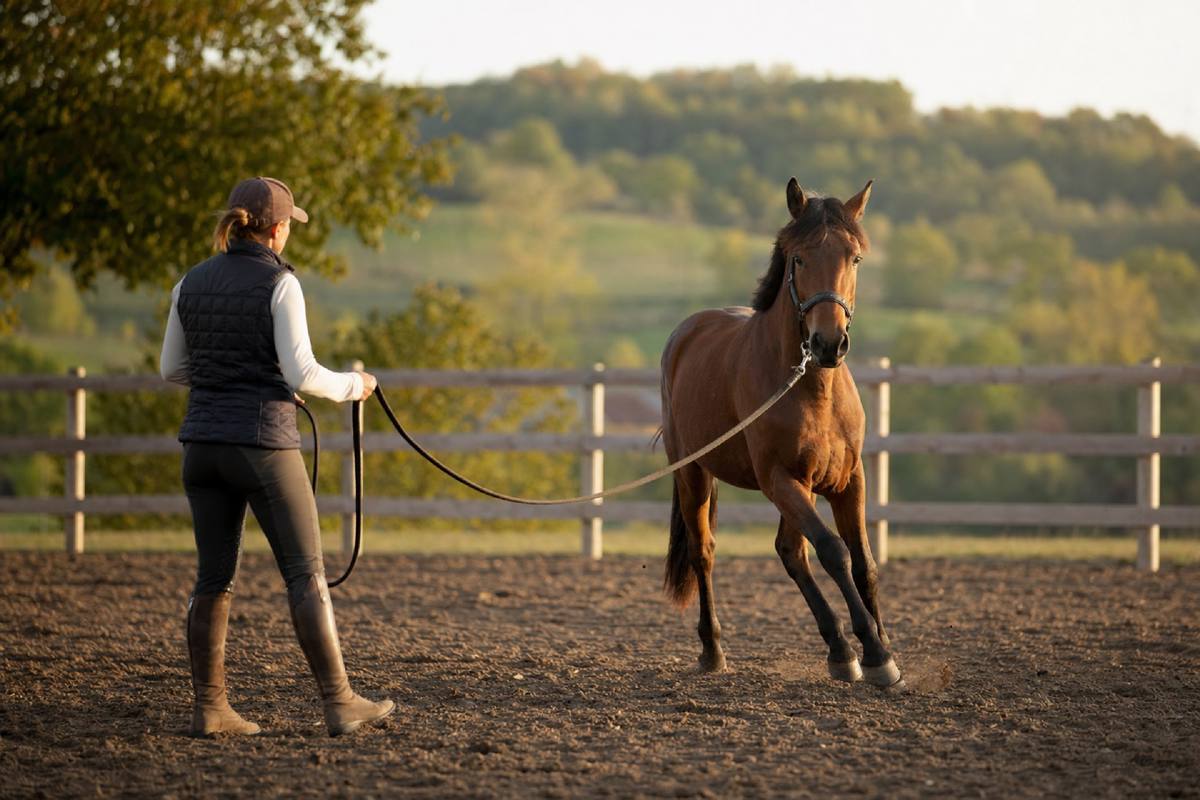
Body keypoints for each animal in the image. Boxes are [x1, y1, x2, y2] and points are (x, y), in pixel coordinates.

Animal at [659, 177, 901, 687]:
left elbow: (863, 562)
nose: (829, 343)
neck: (812, 389)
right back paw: (713, 650)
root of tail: (685, 332)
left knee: (790, 551)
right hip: (694, 473)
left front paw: (882, 649)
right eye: (799, 258)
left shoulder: (848, 481)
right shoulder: (782, 480)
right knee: (704, 552)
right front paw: (872, 652)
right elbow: (833, 551)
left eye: (854, 258)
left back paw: (838, 649)